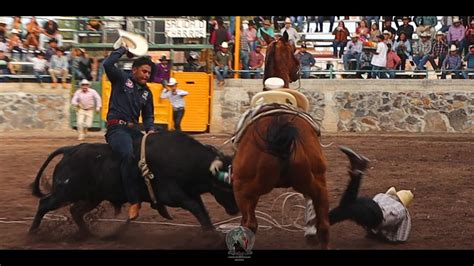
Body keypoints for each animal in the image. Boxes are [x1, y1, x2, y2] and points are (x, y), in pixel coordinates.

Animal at [27, 131, 239, 235]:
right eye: (228, 186)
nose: (236, 209)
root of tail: (70, 150)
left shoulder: (190, 192)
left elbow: (201, 209)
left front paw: (210, 230)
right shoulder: (172, 194)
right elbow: (196, 207)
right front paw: (210, 234)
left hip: (91, 197)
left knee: (76, 211)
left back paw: (87, 234)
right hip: (66, 191)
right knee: (44, 203)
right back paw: (32, 232)